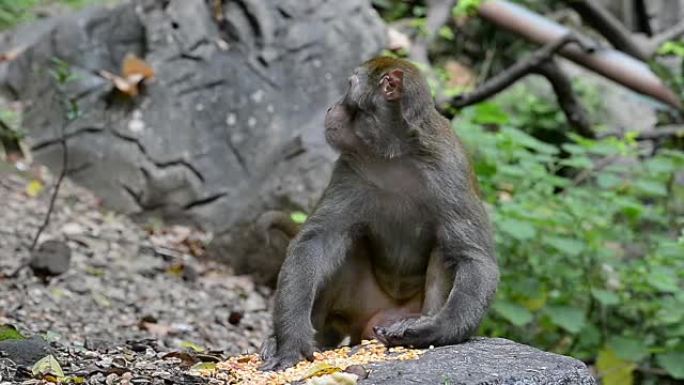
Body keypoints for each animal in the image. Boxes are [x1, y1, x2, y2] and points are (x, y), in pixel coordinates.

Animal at [260, 56, 500, 368]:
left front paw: (435, 328)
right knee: (346, 247)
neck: (395, 155)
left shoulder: (449, 171)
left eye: (349, 86)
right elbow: (316, 241)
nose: (330, 108)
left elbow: (474, 258)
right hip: (359, 307)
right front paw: (291, 340)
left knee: (444, 249)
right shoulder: (350, 168)